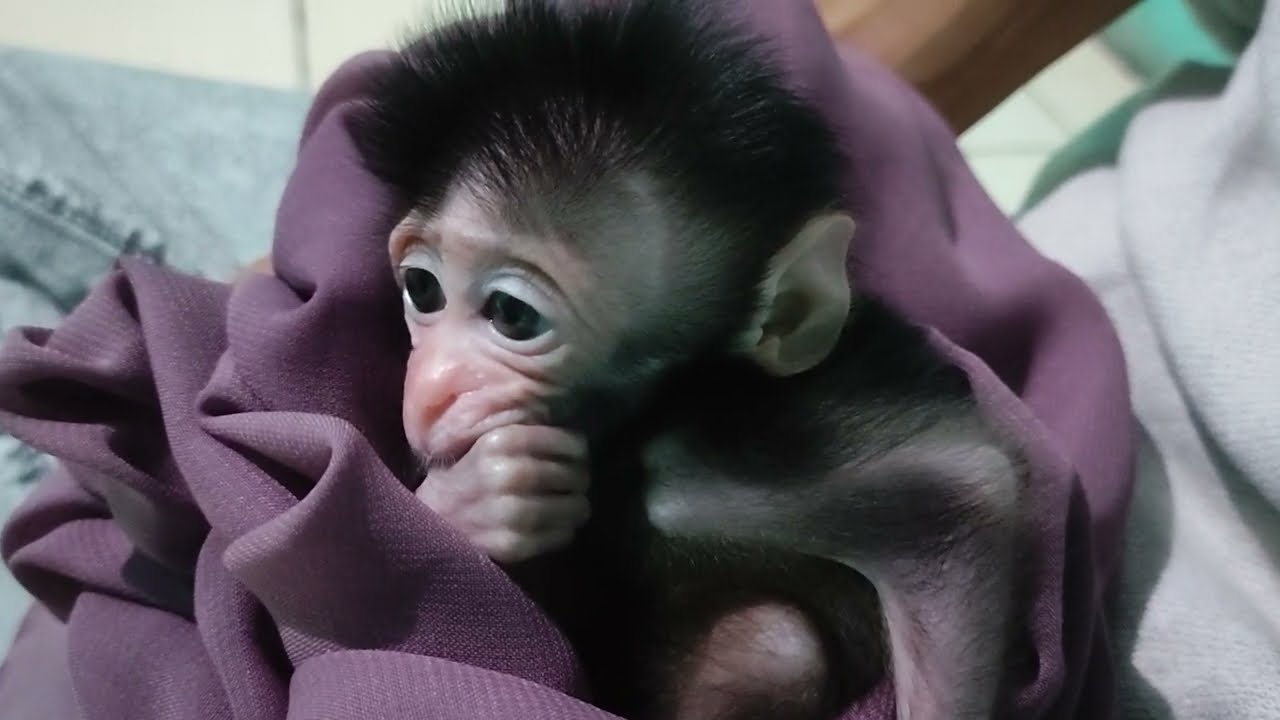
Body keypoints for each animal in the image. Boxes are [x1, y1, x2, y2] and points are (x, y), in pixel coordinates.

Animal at [351, 1, 1026, 718]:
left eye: (512, 315)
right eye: (422, 288)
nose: (431, 392)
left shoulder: (723, 457)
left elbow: (965, 496)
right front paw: (476, 496)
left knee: (773, 647)